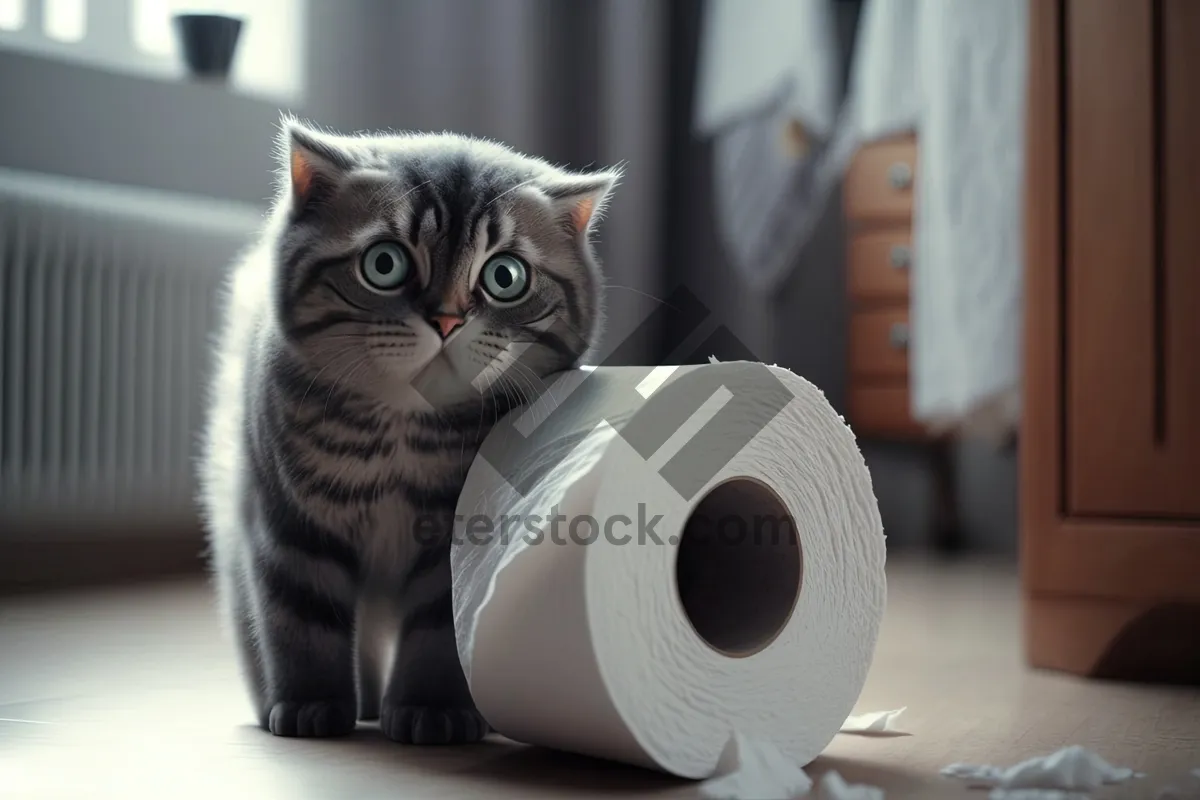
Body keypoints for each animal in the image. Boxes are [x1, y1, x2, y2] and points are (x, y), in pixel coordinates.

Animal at [198, 117, 619, 743]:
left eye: (505, 276)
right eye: (385, 264)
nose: (446, 319)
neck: (402, 429)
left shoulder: (448, 544)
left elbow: (437, 634)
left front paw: (430, 709)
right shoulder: (291, 527)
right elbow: (300, 622)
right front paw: (309, 703)